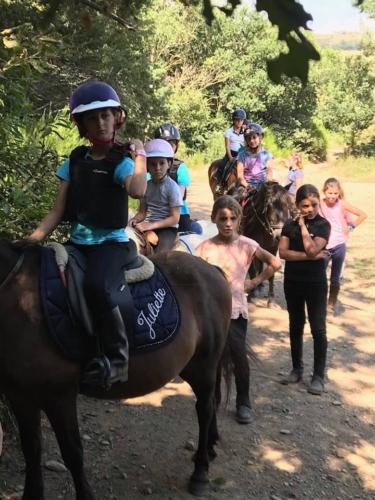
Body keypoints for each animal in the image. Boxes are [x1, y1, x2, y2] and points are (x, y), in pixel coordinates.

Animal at [0, 240, 232, 498]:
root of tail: (212, 269)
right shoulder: (19, 395)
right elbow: (30, 450)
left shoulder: (60, 395)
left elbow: (72, 452)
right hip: (195, 366)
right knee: (210, 403)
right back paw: (210, 448)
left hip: (204, 364)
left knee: (205, 408)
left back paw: (200, 471)